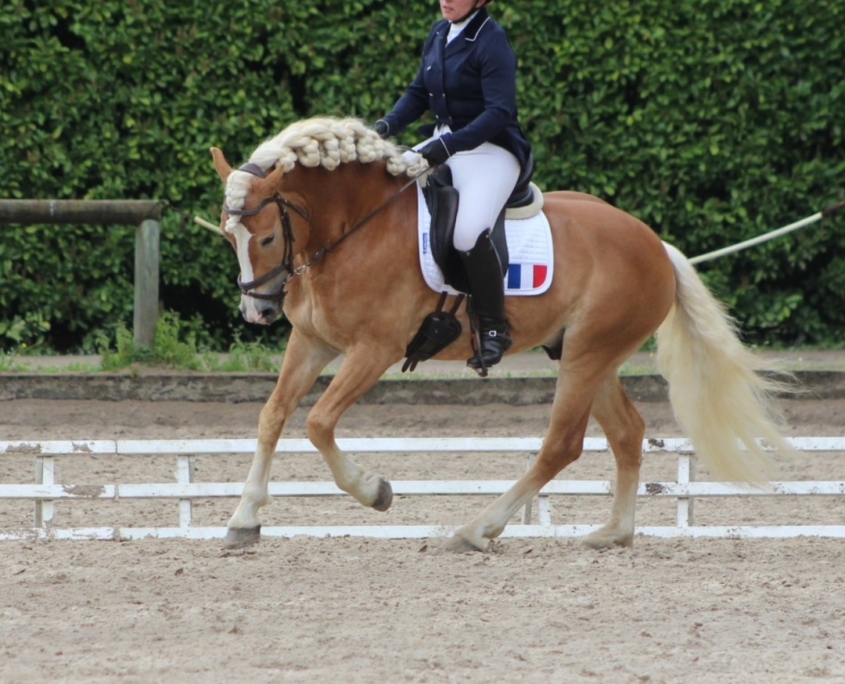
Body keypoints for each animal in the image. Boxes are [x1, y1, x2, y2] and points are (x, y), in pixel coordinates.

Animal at [210, 116, 792, 552]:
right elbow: (273, 416)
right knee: (627, 433)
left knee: (561, 444)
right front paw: (243, 519)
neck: (355, 228)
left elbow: (318, 422)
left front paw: (375, 491)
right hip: (588, 355)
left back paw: (477, 529)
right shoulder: (312, 343)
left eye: (266, 237)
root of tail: (655, 244)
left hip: (588, 354)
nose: (258, 311)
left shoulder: (373, 350)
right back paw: (612, 534)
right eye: (227, 235)